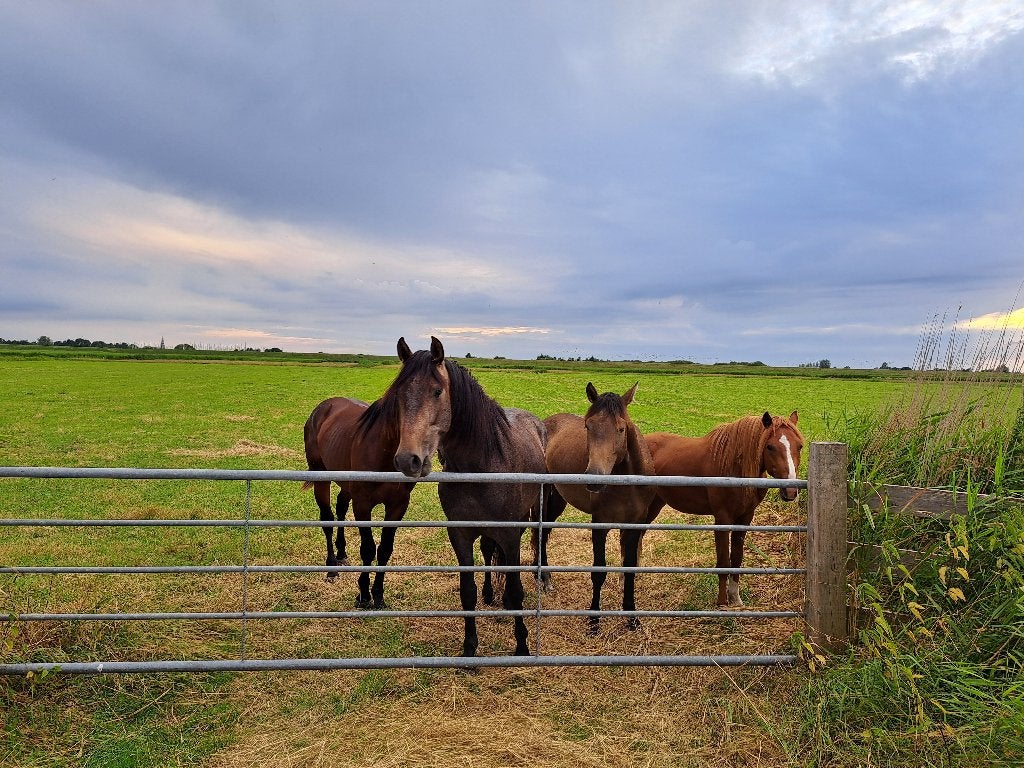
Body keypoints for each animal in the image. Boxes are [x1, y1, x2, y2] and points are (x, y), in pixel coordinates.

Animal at [302, 350, 417, 609]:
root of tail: (323, 407)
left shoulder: (398, 505)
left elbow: (384, 549)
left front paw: (379, 595)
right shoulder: (363, 504)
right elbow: (367, 548)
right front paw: (364, 595)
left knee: (340, 508)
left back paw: (342, 554)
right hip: (321, 477)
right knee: (327, 519)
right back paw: (331, 568)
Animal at [389, 336, 546, 657]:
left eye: (437, 391)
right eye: (398, 394)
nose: (407, 460)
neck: (482, 465)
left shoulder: (509, 534)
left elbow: (516, 588)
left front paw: (522, 645)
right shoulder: (460, 534)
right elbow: (468, 591)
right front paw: (470, 647)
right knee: (487, 551)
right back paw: (491, 593)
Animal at [541, 382, 656, 633]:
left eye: (621, 428)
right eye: (588, 426)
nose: (594, 479)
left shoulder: (633, 526)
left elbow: (630, 569)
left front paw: (632, 618)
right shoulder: (599, 525)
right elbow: (598, 571)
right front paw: (594, 620)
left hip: (558, 500)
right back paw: (544, 580)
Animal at [645, 411, 804, 607]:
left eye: (800, 446)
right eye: (770, 447)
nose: (791, 491)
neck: (734, 467)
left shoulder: (744, 518)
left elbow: (736, 558)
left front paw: (735, 599)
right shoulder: (722, 519)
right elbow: (723, 561)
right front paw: (721, 602)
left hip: (654, 505)